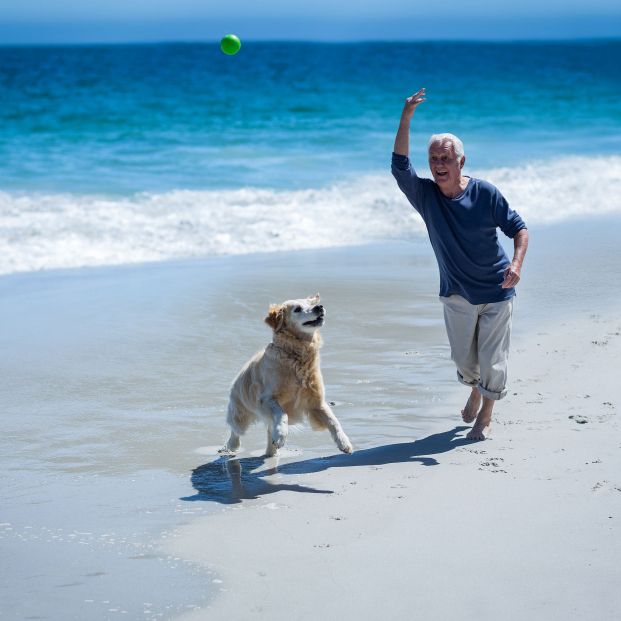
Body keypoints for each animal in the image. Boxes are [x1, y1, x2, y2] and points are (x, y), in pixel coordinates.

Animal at [220, 294, 352, 458]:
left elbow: (333, 421)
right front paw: (281, 435)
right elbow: (282, 414)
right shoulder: (267, 399)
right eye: (297, 309)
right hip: (240, 412)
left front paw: (344, 443)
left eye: (310, 303)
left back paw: (271, 452)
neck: (297, 356)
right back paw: (231, 447)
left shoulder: (317, 402)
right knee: (235, 430)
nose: (319, 307)